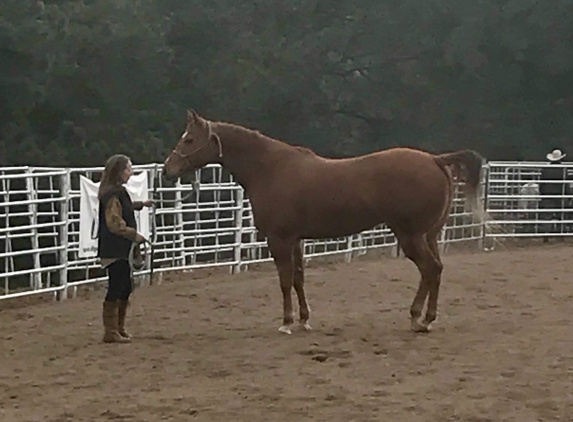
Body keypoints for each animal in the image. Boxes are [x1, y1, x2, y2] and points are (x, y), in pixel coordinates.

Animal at [163, 110, 484, 334]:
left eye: (189, 139)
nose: (167, 170)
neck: (270, 169)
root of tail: (435, 160)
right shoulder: (295, 239)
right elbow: (298, 279)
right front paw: (304, 321)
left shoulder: (279, 240)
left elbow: (284, 280)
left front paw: (286, 322)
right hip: (429, 236)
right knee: (437, 270)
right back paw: (428, 318)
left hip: (411, 236)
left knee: (430, 270)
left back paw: (419, 318)